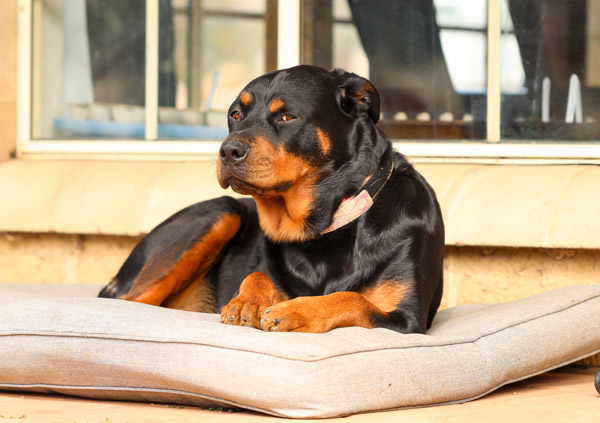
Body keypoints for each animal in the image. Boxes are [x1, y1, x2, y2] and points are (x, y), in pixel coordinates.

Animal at [99, 65, 446, 334]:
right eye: (235, 115)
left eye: (287, 117)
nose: (228, 150)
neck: (321, 229)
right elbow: (257, 274)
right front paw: (246, 301)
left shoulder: (408, 320)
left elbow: (352, 298)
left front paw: (295, 311)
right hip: (221, 211)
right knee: (131, 302)